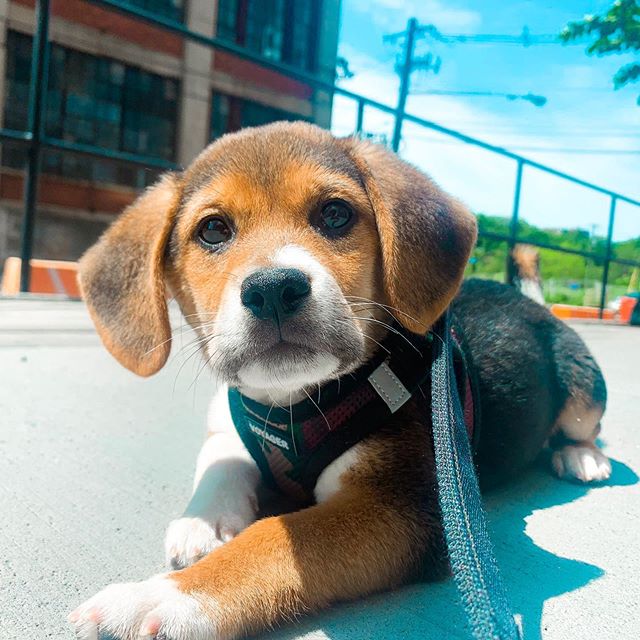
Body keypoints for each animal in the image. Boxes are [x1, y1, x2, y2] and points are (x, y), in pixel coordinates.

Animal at [70, 121, 608, 640]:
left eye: (335, 214)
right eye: (213, 230)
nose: (273, 289)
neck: (289, 405)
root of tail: (533, 303)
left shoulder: (398, 508)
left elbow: (275, 538)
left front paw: (164, 597)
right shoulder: (226, 418)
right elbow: (222, 458)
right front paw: (203, 523)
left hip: (584, 392)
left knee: (587, 426)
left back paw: (581, 457)